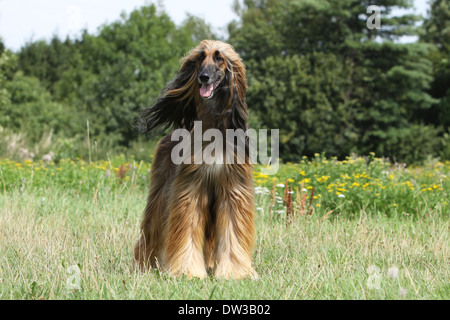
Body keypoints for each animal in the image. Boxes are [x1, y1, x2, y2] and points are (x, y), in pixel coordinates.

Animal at [134, 40, 256, 280]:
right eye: (200, 58)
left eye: (219, 58)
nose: (204, 77)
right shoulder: (190, 190)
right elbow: (187, 231)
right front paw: (187, 271)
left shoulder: (232, 190)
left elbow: (232, 231)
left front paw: (233, 271)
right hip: (161, 193)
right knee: (153, 228)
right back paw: (144, 264)